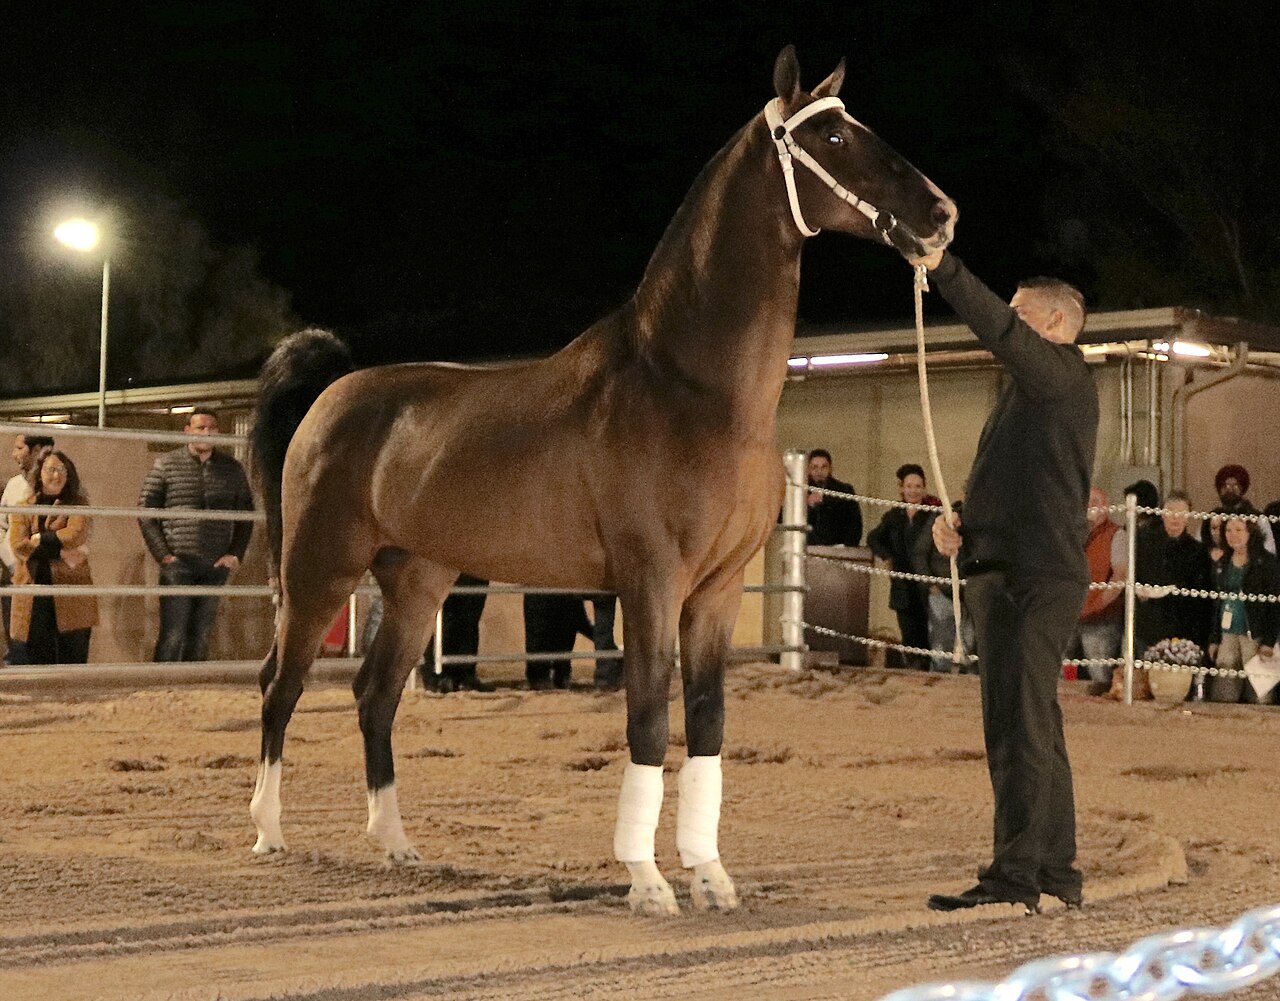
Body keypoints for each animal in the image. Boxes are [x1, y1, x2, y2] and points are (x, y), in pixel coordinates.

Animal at [248, 46, 955, 916]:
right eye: (831, 134)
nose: (941, 215)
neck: (692, 386)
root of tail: (331, 393)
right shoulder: (650, 581)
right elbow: (648, 716)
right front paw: (648, 880)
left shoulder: (717, 589)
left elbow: (708, 723)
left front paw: (710, 873)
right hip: (319, 570)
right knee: (280, 683)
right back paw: (269, 831)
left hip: (418, 581)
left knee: (374, 695)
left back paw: (396, 843)